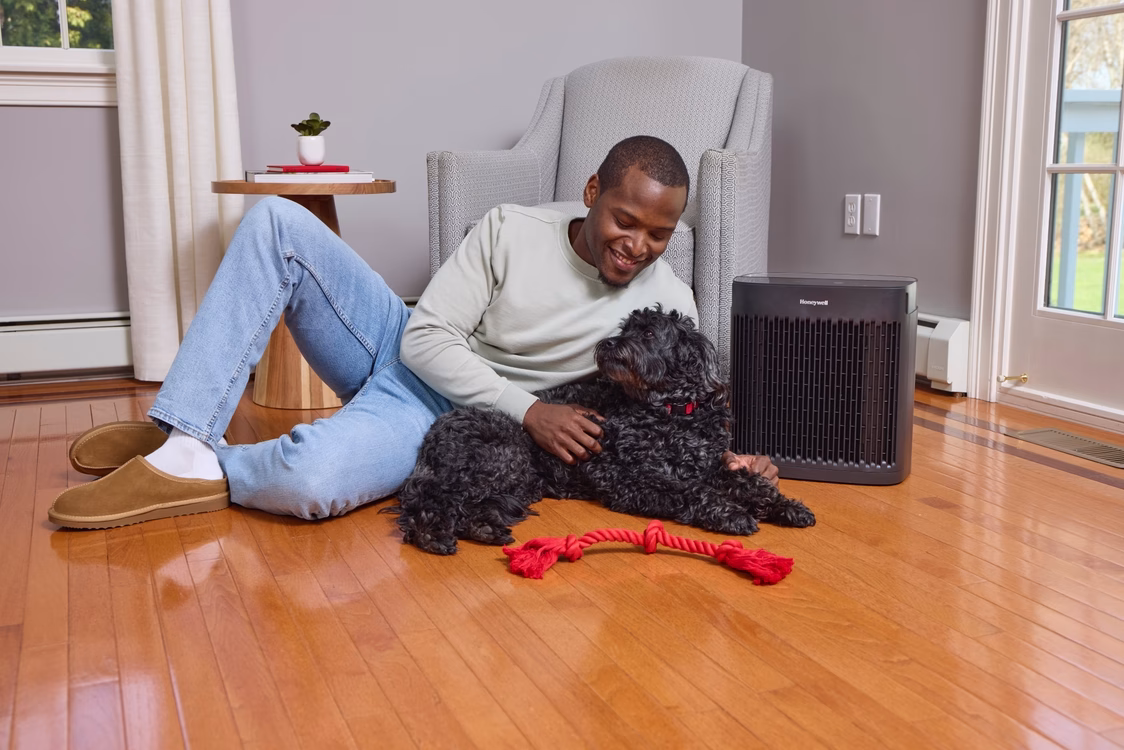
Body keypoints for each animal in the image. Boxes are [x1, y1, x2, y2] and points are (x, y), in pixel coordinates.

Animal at [385, 306, 815, 555]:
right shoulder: (628, 478)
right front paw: (731, 514)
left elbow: (748, 481)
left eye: (648, 333)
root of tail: (436, 432)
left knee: (467, 506)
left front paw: (786, 506)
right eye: (625, 328)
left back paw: (485, 528)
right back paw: (434, 535)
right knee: (431, 504)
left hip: (515, 480)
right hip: (499, 460)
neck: (671, 411)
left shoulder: (708, 464)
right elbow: (691, 492)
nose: (607, 344)